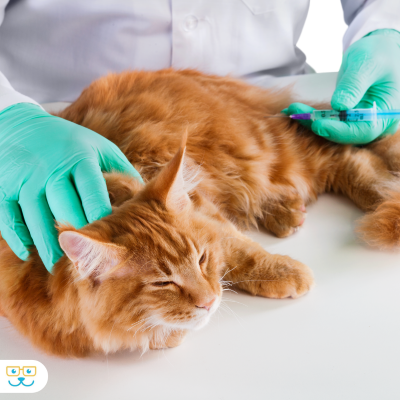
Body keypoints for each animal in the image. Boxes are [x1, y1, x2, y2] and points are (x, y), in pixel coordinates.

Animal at [0, 68, 400, 356]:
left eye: (201, 259)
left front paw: (284, 272)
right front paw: (167, 333)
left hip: (273, 149)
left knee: (348, 155)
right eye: (162, 283)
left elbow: (242, 252)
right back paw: (285, 212)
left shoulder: (204, 213)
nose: (209, 302)